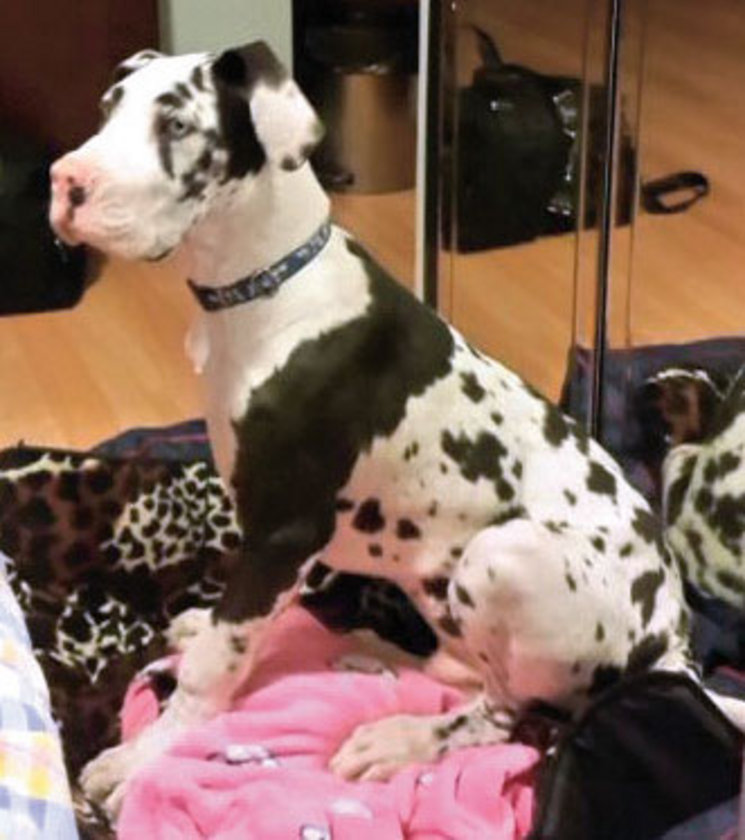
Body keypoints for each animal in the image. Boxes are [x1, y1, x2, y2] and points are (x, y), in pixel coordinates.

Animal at [48, 42, 745, 816]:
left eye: (175, 124)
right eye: (109, 107)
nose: (66, 181)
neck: (269, 285)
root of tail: (674, 643)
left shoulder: (284, 532)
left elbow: (218, 660)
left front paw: (145, 754)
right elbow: (236, 629)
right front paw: (207, 628)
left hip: (501, 556)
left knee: (506, 713)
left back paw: (403, 738)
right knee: (463, 670)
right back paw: (376, 651)